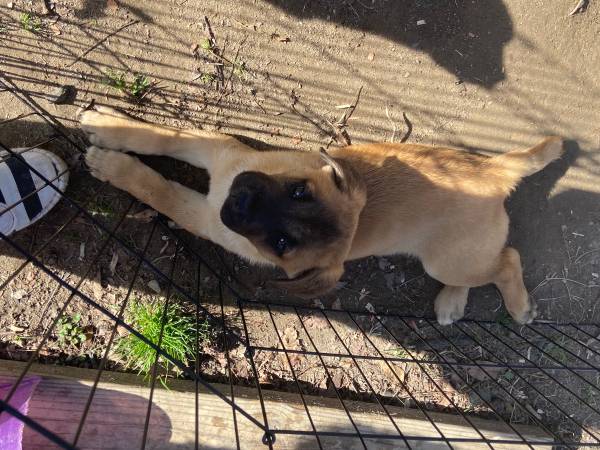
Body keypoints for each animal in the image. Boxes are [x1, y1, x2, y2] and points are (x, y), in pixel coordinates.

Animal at [79, 107, 564, 326]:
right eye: (300, 190)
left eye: (282, 244)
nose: (240, 198)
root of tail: (495, 171)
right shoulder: (218, 149)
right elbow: (159, 135)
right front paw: (105, 123)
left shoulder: (206, 215)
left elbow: (159, 189)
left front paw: (112, 165)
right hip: (453, 257)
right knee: (492, 262)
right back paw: (453, 303)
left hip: (443, 259)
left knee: (507, 260)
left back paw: (517, 307)